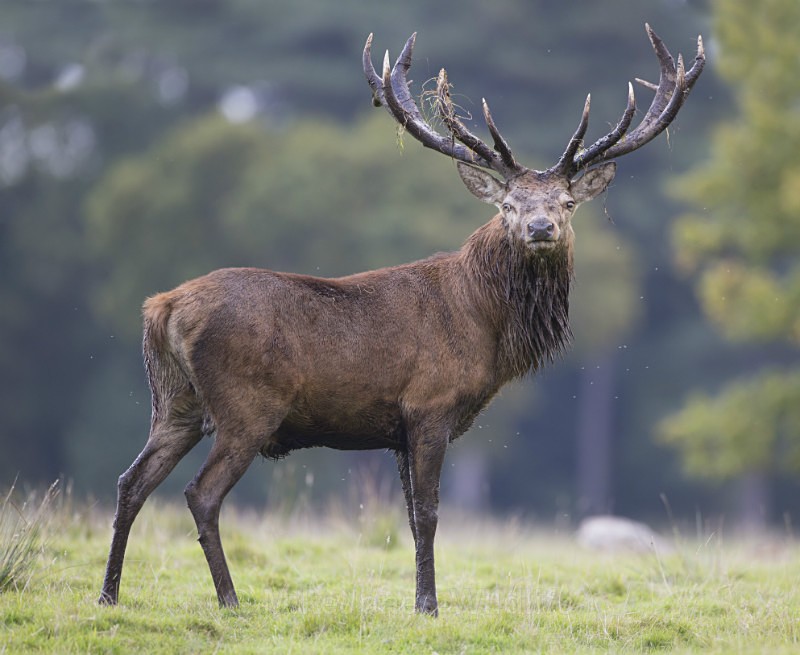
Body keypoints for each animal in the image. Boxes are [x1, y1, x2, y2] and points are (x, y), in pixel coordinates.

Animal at [99, 25, 704, 616]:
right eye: (507, 204)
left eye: (567, 202)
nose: (539, 228)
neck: (487, 329)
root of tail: (162, 307)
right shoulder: (429, 406)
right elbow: (429, 513)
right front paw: (429, 606)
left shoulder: (395, 431)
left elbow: (411, 516)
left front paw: (418, 598)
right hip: (246, 407)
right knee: (200, 494)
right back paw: (229, 600)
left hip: (175, 403)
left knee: (131, 482)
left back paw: (109, 594)